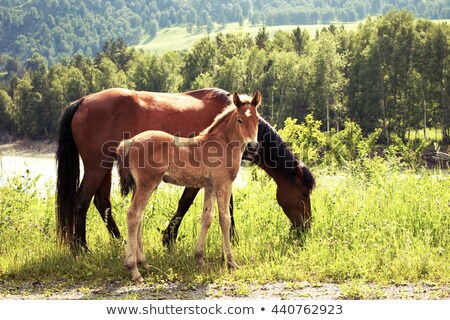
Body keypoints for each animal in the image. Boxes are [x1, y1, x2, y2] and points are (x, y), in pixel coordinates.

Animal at [117, 91, 260, 282]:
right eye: (239, 120)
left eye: (257, 119)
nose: (252, 146)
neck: (223, 144)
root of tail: (131, 141)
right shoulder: (223, 184)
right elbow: (225, 219)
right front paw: (230, 261)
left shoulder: (210, 187)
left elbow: (207, 218)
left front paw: (199, 259)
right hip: (148, 183)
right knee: (133, 215)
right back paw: (133, 269)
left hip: (139, 186)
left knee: (138, 217)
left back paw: (144, 263)